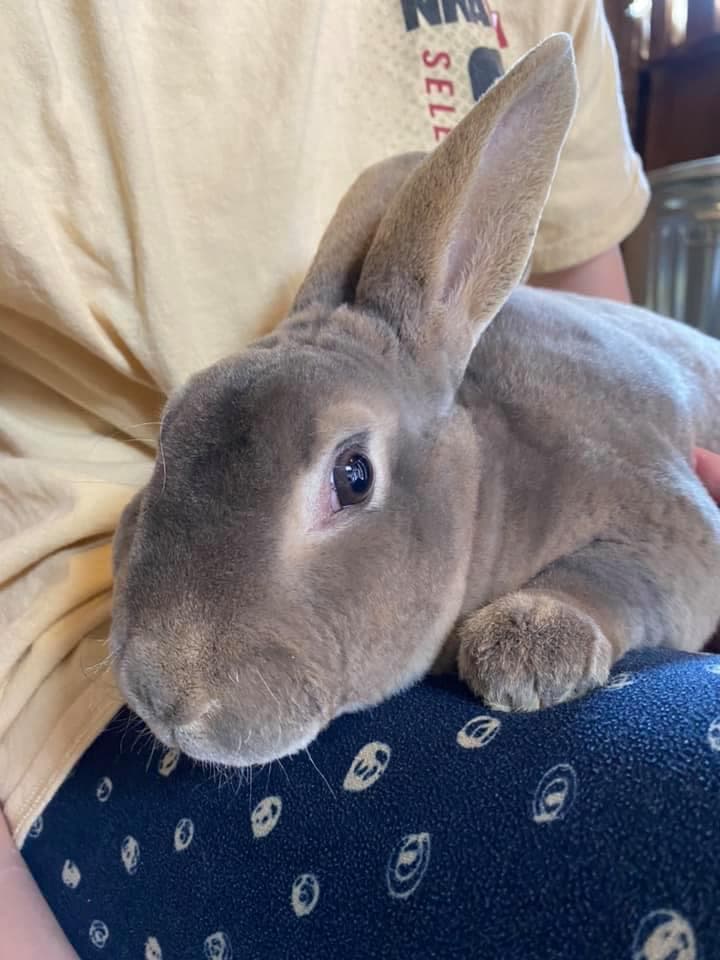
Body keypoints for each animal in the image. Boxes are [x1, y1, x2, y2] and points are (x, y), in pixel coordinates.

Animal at [110, 33, 720, 769]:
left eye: (354, 476)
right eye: (168, 435)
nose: (161, 697)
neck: (489, 478)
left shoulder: (668, 518)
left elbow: (620, 575)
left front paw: (528, 647)